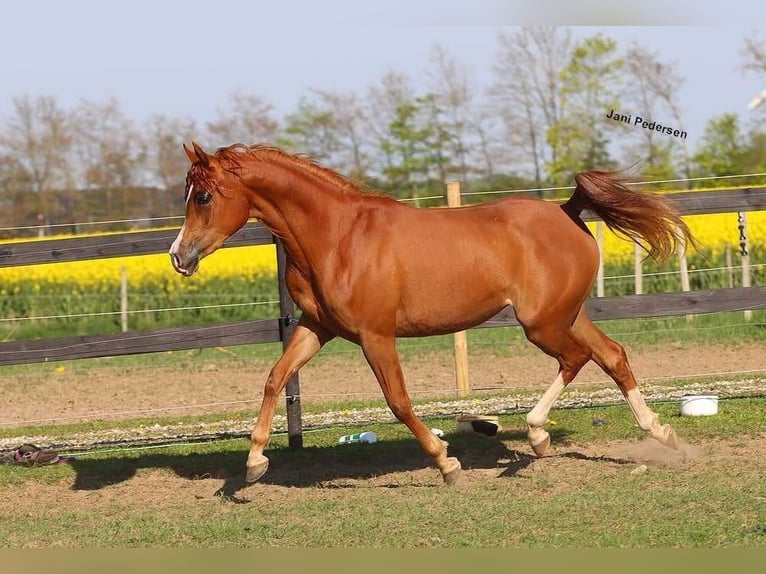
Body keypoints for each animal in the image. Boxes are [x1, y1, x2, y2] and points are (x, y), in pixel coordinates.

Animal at [172, 143, 696, 486]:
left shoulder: (375, 335)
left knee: (579, 359)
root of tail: (568, 212)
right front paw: (253, 464)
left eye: (204, 196)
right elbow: (275, 378)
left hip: (543, 323)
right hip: (564, 315)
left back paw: (537, 435)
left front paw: (447, 463)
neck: (338, 237)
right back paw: (657, 434)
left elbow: (399, 402)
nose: (180, 257)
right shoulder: (316, 328)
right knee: (611, 355)